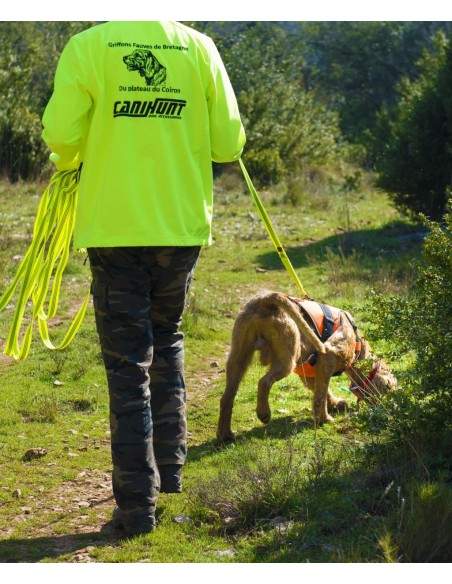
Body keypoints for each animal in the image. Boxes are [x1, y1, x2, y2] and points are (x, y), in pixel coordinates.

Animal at [217, 292, 398, 442]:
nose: (388, 413)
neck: (359, 346)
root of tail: (266, 299)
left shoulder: (311, 376)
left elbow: (322, 391)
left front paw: (335, 404)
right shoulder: (327, 357)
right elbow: (320, 397)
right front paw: (324, 418)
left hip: (238, 358)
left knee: (227, 397)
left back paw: (225, 434)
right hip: (286, 359)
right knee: (264, 382)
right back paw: (264, 414)